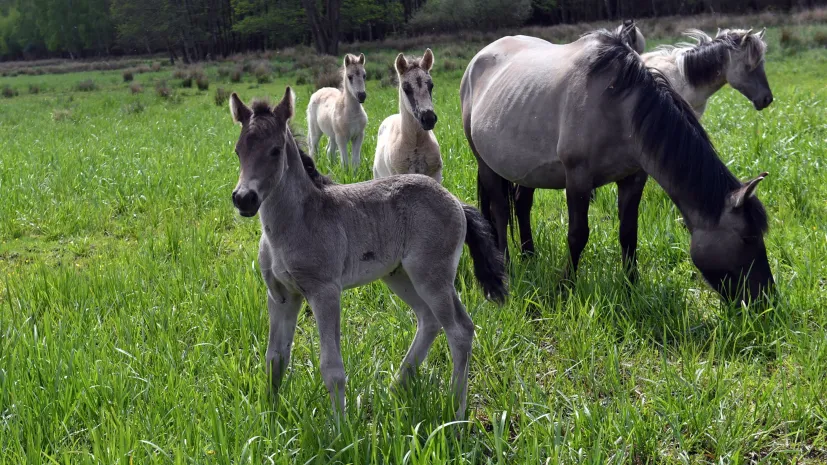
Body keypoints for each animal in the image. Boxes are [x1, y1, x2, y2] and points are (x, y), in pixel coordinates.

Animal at [230, 87, 508, 420]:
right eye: (238, 150)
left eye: (275, 151)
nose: (244, 198)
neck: (296, 221)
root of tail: (455, 200)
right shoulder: (281, 295)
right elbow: (275, 358)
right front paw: (269, 419)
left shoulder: (325, 292)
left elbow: (332, 368)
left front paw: (340, 428)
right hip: (400, 276)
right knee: (429, 319)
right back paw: (394, 388)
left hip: (432, 277)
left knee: (460, 330)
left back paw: (456, 412)